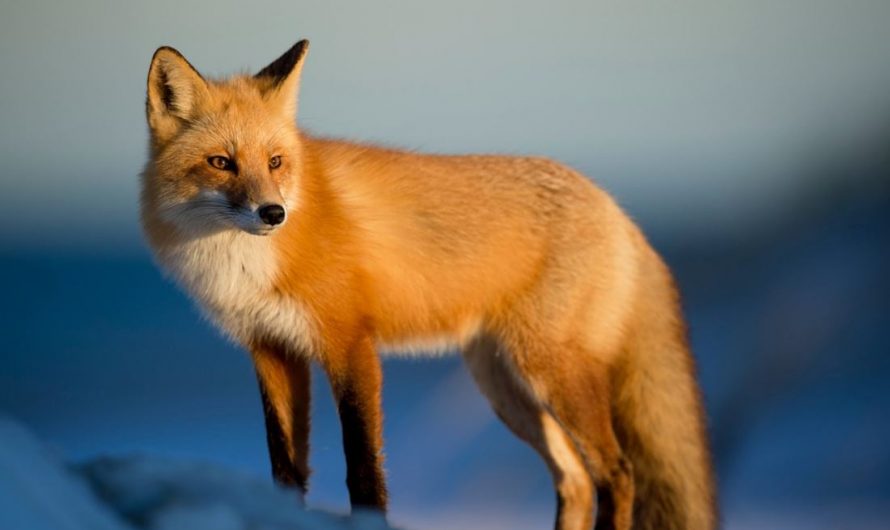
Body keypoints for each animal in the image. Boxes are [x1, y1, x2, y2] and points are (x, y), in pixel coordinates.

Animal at [140, 39, 717, 530]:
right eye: (221, 162)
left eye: (276, 162)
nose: (273, 213)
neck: (245, 264)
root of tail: (617, 209)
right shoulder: (271, 349)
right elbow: (285, 468)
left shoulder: (350, 344)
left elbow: (363, 468)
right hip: (505, 388)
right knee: (574, 479)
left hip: (551, 372)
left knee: (617, 473)